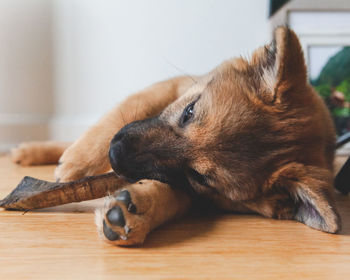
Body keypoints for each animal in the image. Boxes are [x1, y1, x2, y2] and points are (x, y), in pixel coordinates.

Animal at [11, 26, 342, 245]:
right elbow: (120, 115)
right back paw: (32, 151)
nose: (114, 156)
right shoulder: (169, 88)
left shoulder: (193, 192)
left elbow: (169, 193)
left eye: (200, 176)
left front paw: (136, 210)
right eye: (189, 112)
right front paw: (78, 163)